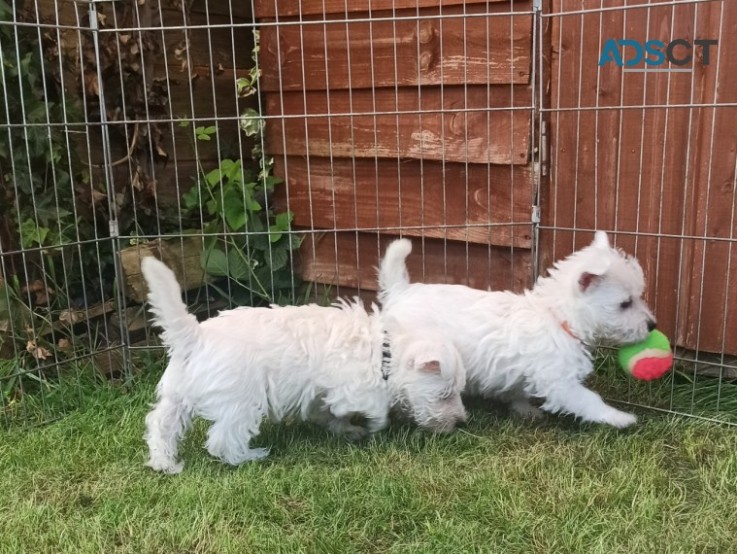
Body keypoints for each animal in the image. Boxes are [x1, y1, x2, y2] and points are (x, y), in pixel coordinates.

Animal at [142, 254, 466, 470]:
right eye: (444, 395)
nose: (461, 422)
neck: (384, 350)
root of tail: (194, 337)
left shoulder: (321, 394)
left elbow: (329, 413)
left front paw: (347, 430)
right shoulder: (352, 388)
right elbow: (373, 406)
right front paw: (375, 425)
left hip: (176, 396)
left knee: (160, 424)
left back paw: (164, 463)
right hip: (240, 402)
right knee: (222, 438)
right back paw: (249, 457)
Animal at [380, 230, 656, 426]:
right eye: (625, 303)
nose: (653, 325)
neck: (558, 316)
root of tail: (400, 291)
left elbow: (517, 391)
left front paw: (525, 410)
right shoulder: (560, 381)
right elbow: (590, 400)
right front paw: (620, 418)